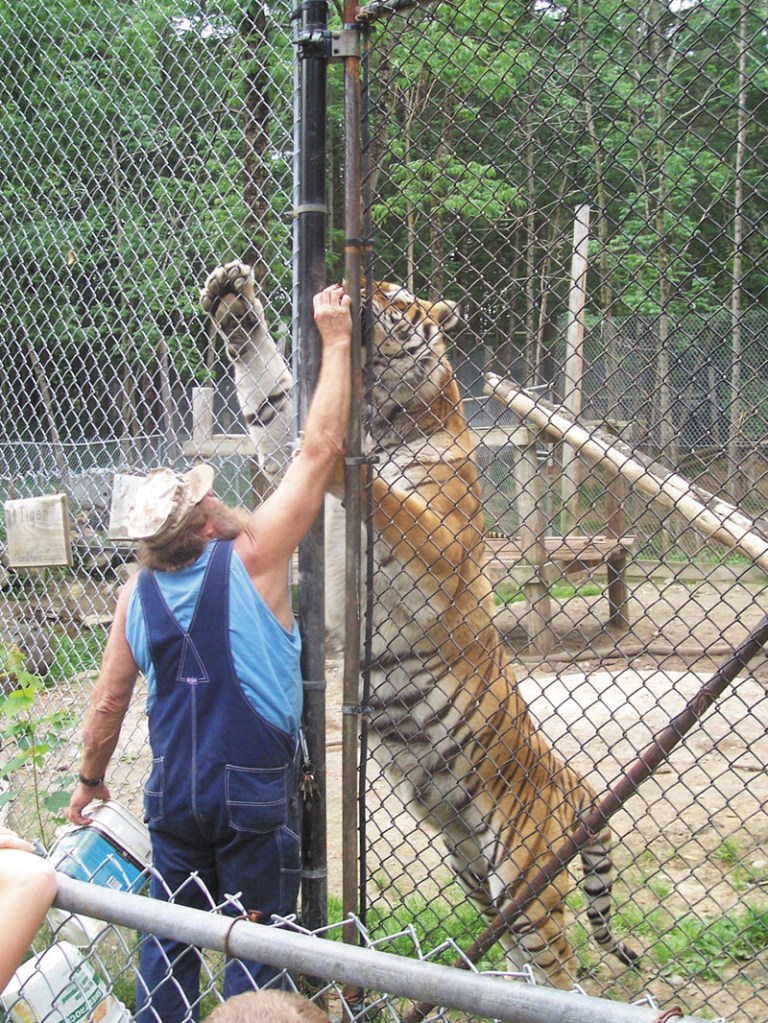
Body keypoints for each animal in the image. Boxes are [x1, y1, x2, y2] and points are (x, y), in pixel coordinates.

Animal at [198, 259, 638, 986]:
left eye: (400, 297)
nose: (360, 287)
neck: (383, 413)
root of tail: (571, 781)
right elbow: (273, 399)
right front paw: (234, 301)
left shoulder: (436, 554)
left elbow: (389, 502)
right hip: (474, 867)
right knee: (516, 947)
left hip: (525, 874)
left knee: (561, 967)